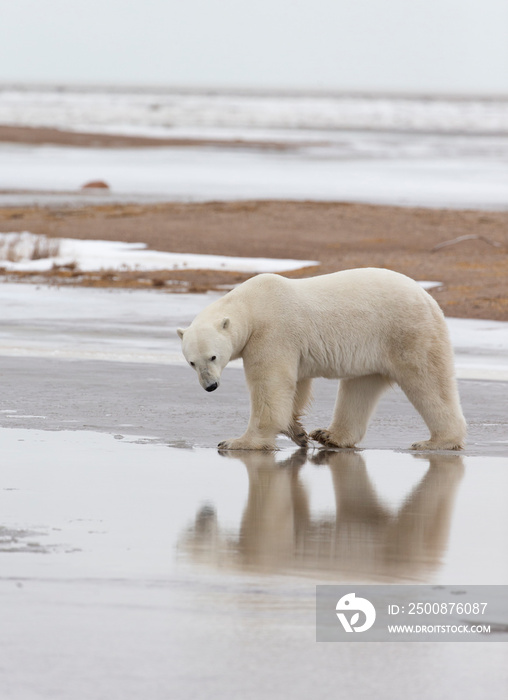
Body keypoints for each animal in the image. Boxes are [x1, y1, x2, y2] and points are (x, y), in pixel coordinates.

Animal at [177, 268, 466, 454]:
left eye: (213, 356)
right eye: (192, 362)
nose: (210, 386)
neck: (251, 305)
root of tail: (427, 297)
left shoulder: (272, 333)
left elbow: (270, 385)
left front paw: (238, 442)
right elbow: (296, 385)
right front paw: (297, 432)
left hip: (406, 332)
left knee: (427, 381)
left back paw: (436, 441)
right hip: (373, 348)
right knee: (359, 388)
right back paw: (330, 436)